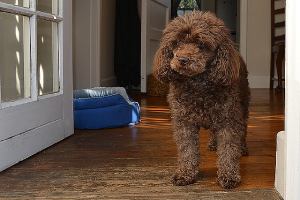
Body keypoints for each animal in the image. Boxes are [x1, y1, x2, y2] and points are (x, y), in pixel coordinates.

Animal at [154, 11, 250, 189]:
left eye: (201, 44)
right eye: (177, 42)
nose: (183, 60)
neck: (198, 85)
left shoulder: (228, 119)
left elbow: (228, 149)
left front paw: (229, 176)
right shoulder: (184, 123)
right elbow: (187, 150)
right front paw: (185, 175)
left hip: (244, 104)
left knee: (244, 129)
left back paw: (243, 147)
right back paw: (213, 143)